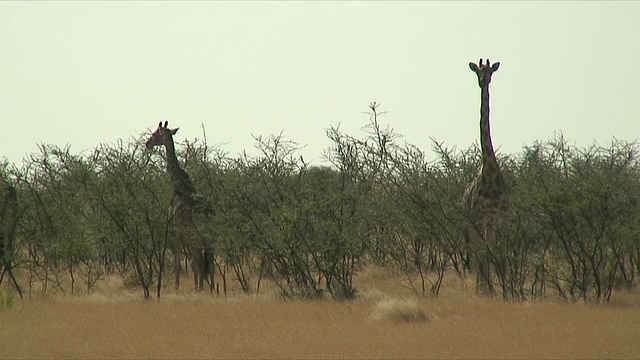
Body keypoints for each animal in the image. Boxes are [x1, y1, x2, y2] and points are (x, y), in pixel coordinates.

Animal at [145, 119, 215, 292]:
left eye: (155, 134)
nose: (147, 143)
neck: (179, 186)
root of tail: (206, 211)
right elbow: (191, 263)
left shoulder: (175, 230)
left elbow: (179, 263)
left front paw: (177, 289)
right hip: (211, 235)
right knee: (209, 261)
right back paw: (213, 289)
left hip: (194, 234)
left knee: (200, 259)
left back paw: (203, 289)